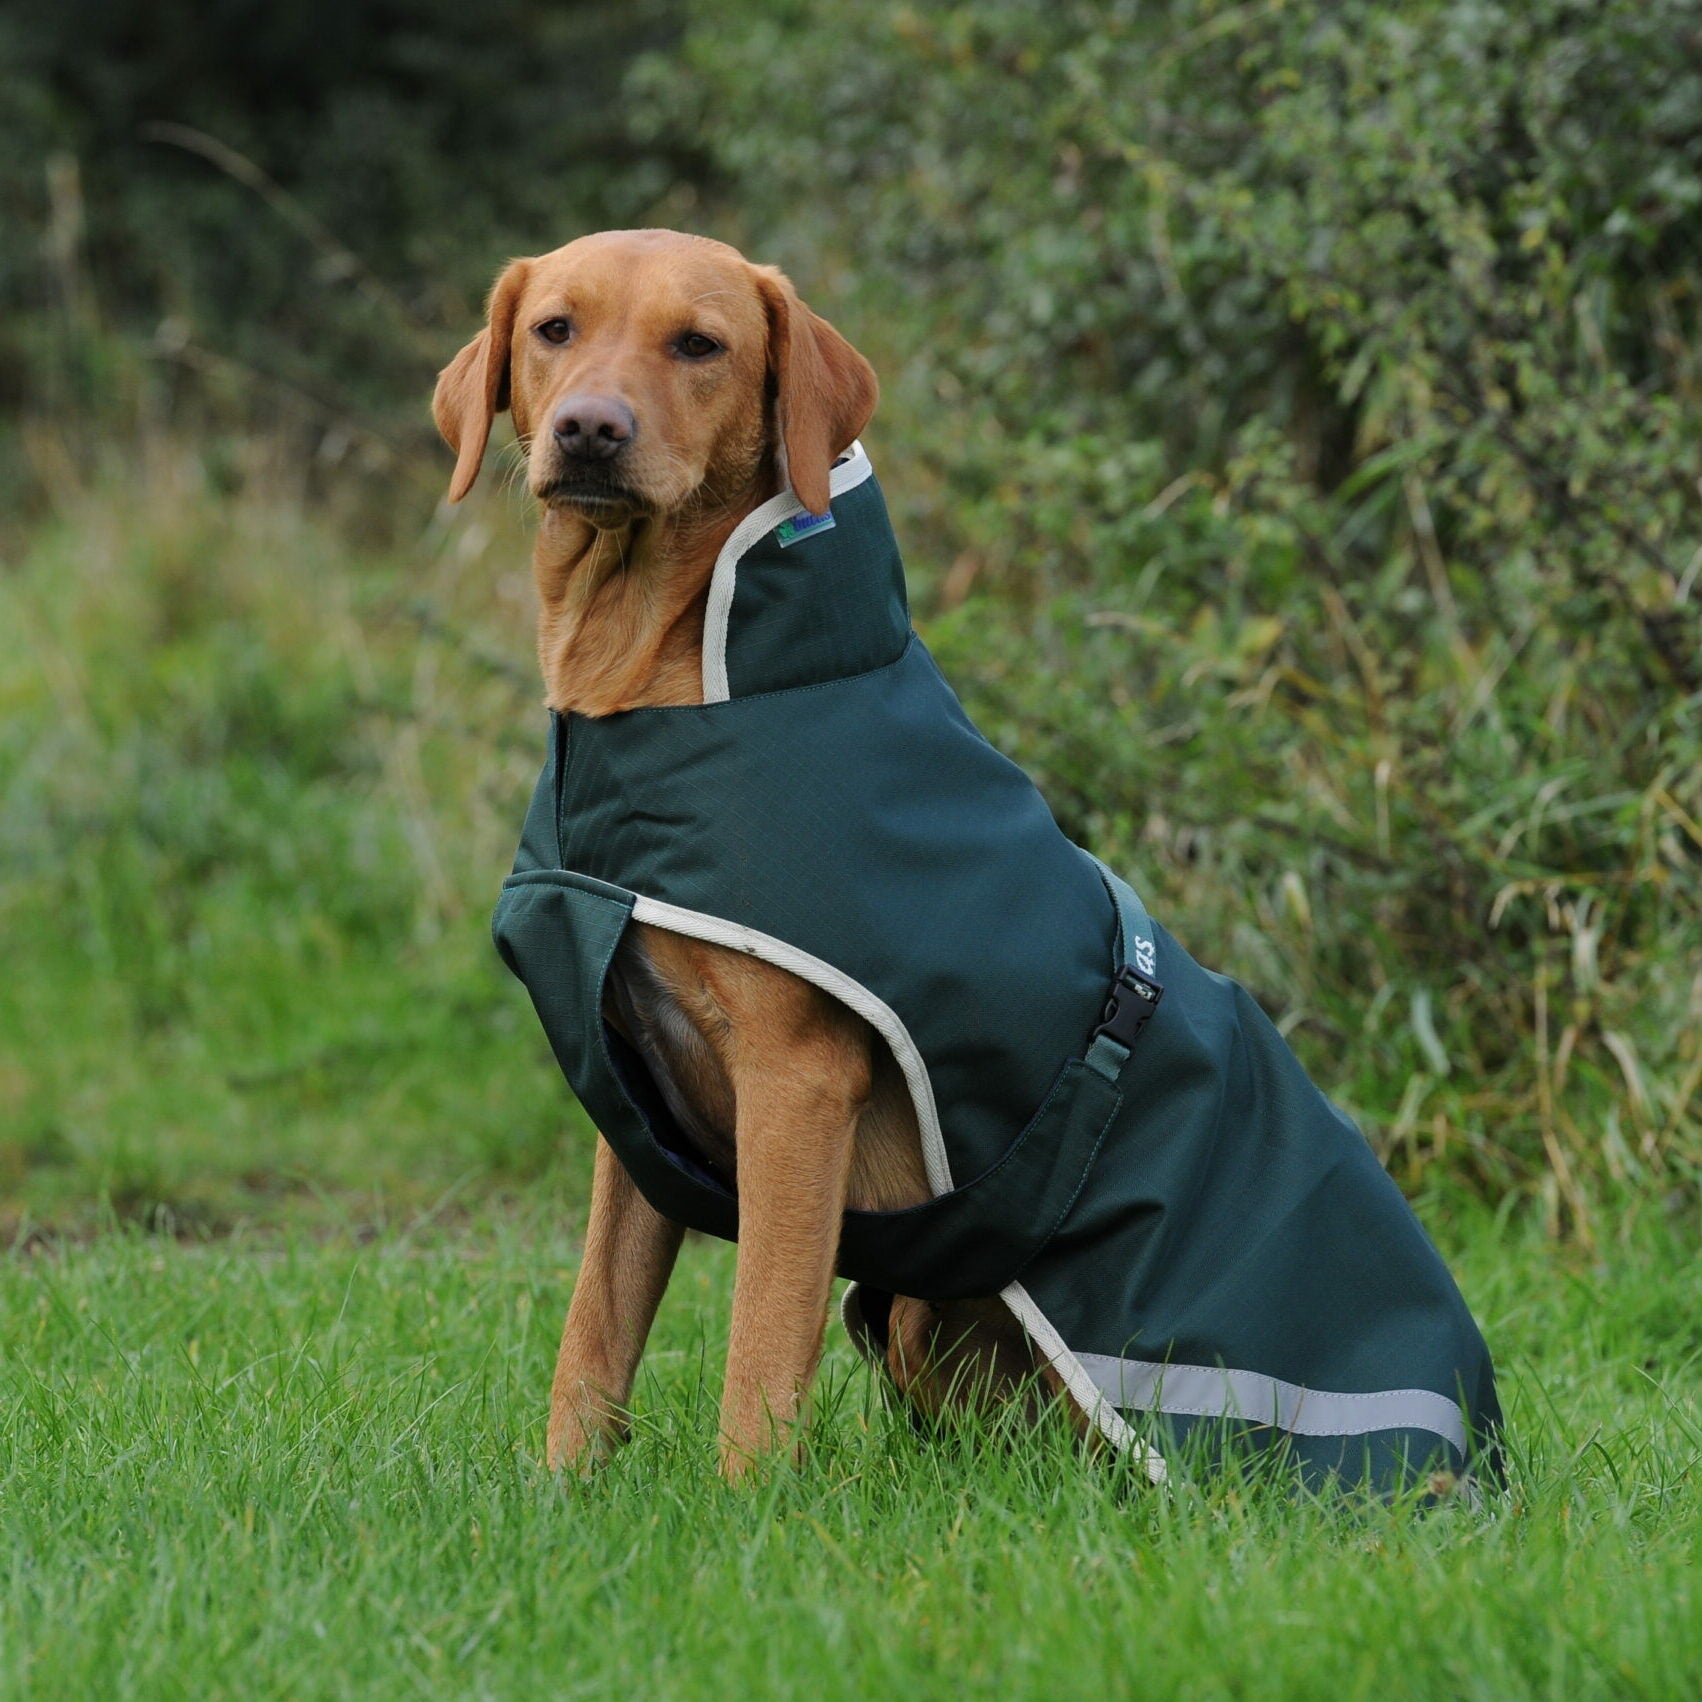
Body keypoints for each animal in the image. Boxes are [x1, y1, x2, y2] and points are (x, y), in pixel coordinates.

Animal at [432, 229, 1497, 1490]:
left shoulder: (796, 1085)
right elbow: (594, 1329)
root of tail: (1482, 1442)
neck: (654, 688)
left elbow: (760, 1339)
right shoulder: (634, 1099)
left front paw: (746, 1507)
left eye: (700, 344)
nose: (590, 429)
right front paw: (563, 1492)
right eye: (554, 329)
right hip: (913, 1317)